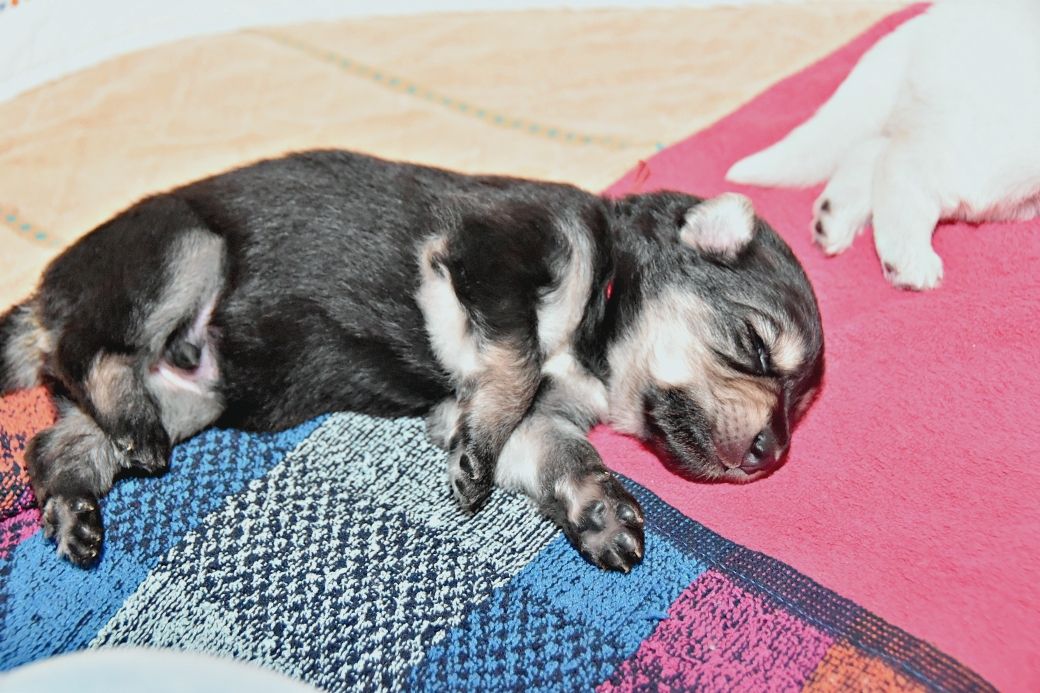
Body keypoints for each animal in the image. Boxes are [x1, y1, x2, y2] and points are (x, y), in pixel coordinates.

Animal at [0, 149, 824, 571]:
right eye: (754, 345)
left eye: (799, 401)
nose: (774, 452)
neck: (600, 317)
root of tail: (39, 298)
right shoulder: (492, 259)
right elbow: (517, 359)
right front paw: (474, 461)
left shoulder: (538, 421)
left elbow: (563, 457)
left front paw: (600, 513)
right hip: (181, 249)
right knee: (89, 347)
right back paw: (126, 427)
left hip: (193, 392)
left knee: (55, 439)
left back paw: (73, 508)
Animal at [726, 0, 1040, 290]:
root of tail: (927, 22)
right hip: (995, 158)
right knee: (899, 162)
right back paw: (907, 257)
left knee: (873, 149)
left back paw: (834, 214)